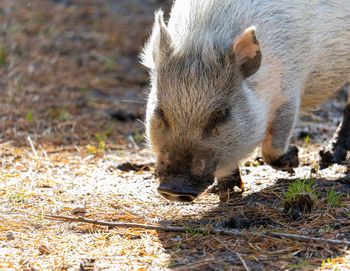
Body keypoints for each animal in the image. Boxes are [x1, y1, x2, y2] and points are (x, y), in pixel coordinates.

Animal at [141, 0, 350, 202]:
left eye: (220, 114)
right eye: (160, 111)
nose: (173, 189)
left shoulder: (289, 92)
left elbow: (272, 148)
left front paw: (294, 160)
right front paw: (228, 191)